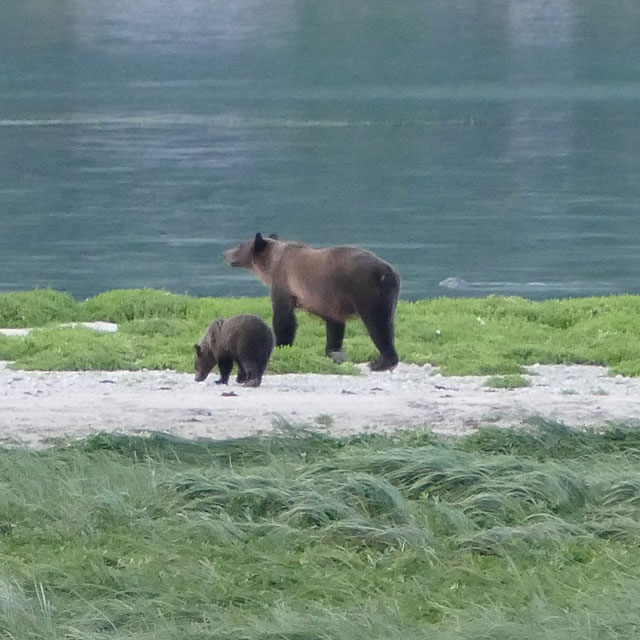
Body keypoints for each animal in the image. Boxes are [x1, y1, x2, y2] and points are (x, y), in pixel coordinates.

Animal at [222, 234, 398, 370]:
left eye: (239, 246)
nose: (226, 253)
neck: (271, 264)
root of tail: (387, 270)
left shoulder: (284, 281)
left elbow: (284, 318)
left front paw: (282, 345)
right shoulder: (330, 299)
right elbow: (334, 326)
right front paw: (333, 352)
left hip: (365, 289)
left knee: (377, 324)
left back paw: (381, 362)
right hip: (389, 294)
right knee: (388, 323)